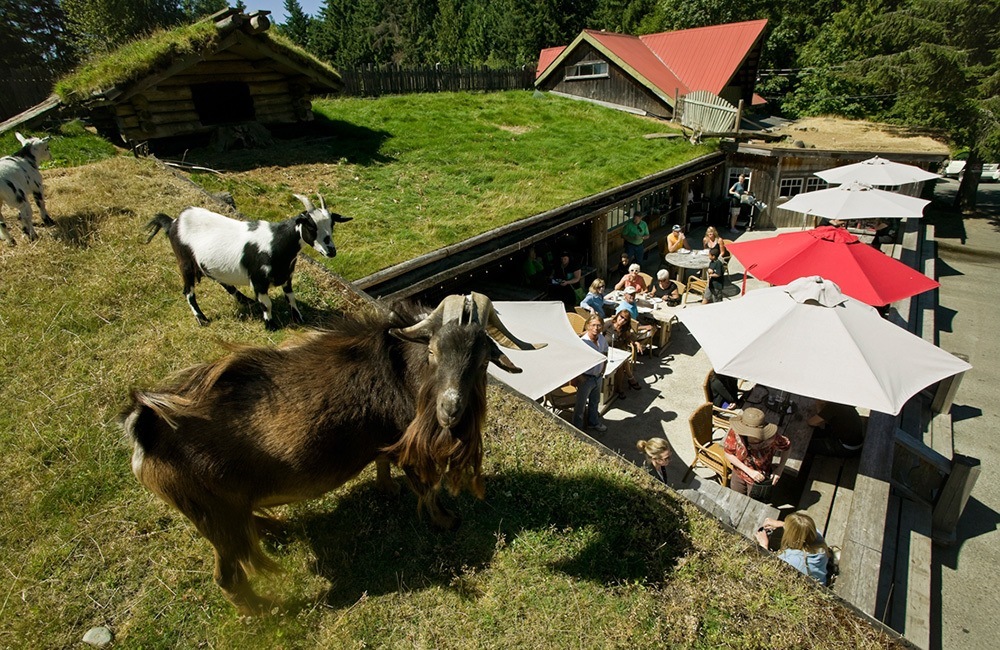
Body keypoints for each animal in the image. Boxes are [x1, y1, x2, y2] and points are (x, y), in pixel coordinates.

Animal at [125, 294, 548, 612]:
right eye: (433, 350)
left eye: (482, 359)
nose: (450, 411)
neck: (403, 371)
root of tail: (144, 433)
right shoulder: (408, 444)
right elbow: (425, 487)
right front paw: (446, 520)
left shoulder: (385, 438)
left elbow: (383, 461)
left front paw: (387, 490)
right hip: (214, 516)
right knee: (227, 577)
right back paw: (263, 611)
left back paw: (277, 528)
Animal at [146, 190, 352, 326]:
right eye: (311, 226)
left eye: (332, 224)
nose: (331, 251)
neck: (275, 242)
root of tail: (173, 222)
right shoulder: (258, 280)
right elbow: (267, 303)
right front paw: (270, 325)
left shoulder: (287, 275)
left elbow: (291, 297)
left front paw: (298, 318)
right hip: (185, 262)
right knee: (188, 292)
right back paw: (202, 319)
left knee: (222, 281)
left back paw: (244, 300)